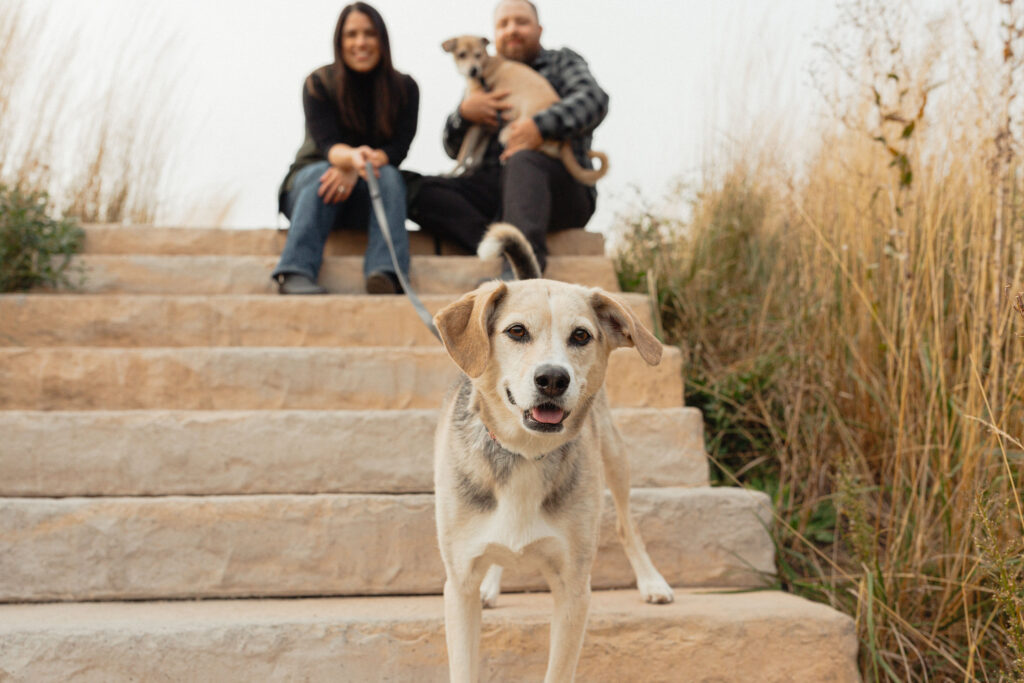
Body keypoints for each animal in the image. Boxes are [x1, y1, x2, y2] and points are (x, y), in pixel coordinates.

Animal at [432, 224, 671, 683]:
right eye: (516, 332)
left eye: (580, 336)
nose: (553, 379)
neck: (525, 454)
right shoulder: (459, 586)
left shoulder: (574, 590)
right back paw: (492, 585)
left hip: (616, 458)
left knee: (627, 527)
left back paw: (652, 582)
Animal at [442, 34, 606, 184]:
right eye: (462, 55)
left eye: (478, 54)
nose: (473, 70)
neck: (486, 65)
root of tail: (565, 140)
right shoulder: (486, 128)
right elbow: (476, 156)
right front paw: (468, 173)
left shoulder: (477, 123)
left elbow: (463, 155)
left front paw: (449, 174)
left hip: (508, 133)